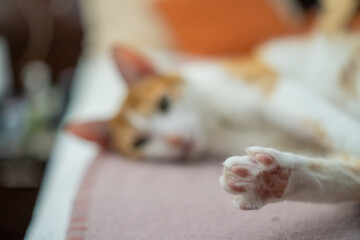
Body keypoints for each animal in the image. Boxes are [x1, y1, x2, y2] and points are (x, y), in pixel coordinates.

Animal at [68, 30, 360, 210]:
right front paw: (266, 179)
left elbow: (331, 123)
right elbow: (346, 176)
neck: (215, 126)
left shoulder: (271, 88)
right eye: (140, 142)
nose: (177, 140)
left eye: (163, 103)